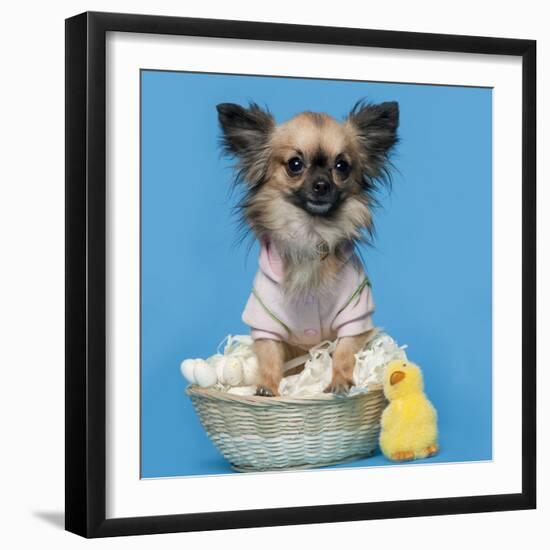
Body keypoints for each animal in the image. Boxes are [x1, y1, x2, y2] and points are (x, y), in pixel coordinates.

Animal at [217, 100, 402, 396]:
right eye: (295, 164)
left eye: (342, 166)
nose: (322, 185)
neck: (312, 232)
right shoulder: (265, 321)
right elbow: (269, 356)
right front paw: (267, 387)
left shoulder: (355, 316)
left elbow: (344, 353)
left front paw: (339, 381)